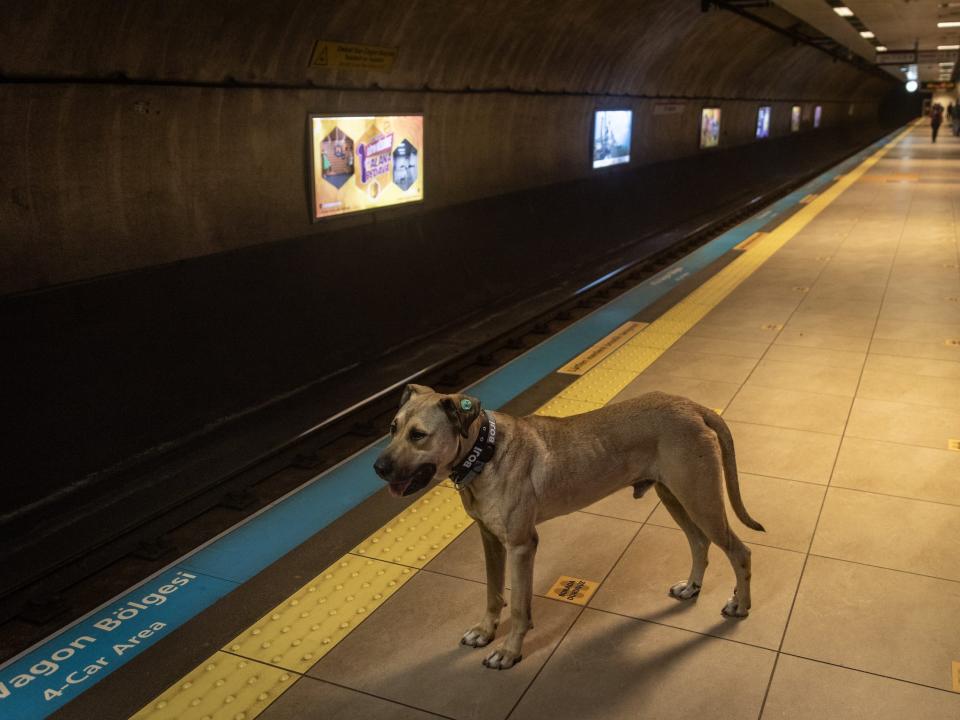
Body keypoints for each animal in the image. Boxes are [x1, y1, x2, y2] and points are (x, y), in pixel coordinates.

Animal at [376, 382, 764, 668]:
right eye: (392, 429)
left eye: (418, 435)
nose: (378, 468)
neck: (485, 452)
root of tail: (692, 406)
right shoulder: (490, 540)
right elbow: (493, 593)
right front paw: (485, 632)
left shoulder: (521, 545)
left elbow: (519, 606)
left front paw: (509, 651)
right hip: (675, 497)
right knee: (699, 542)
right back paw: (692, 587)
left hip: (700, 499)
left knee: (740, 552)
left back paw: (741, 606)